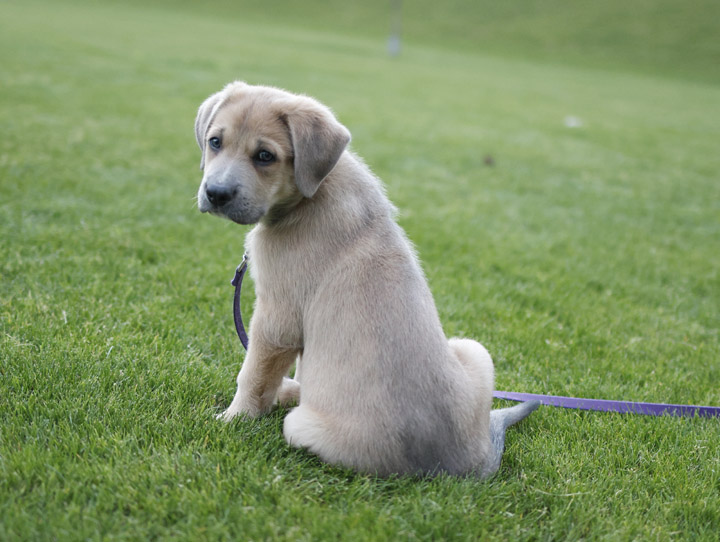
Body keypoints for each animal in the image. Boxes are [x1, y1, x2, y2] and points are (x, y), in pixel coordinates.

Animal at [194, 83, 536, 478]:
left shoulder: (276, 319)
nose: (216, 194)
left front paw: (233, 419)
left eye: (265, 156)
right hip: (474, 349)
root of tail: (466, 464)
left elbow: (252, 377)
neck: (309, 196)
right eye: (215, 142)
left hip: (301, 427)